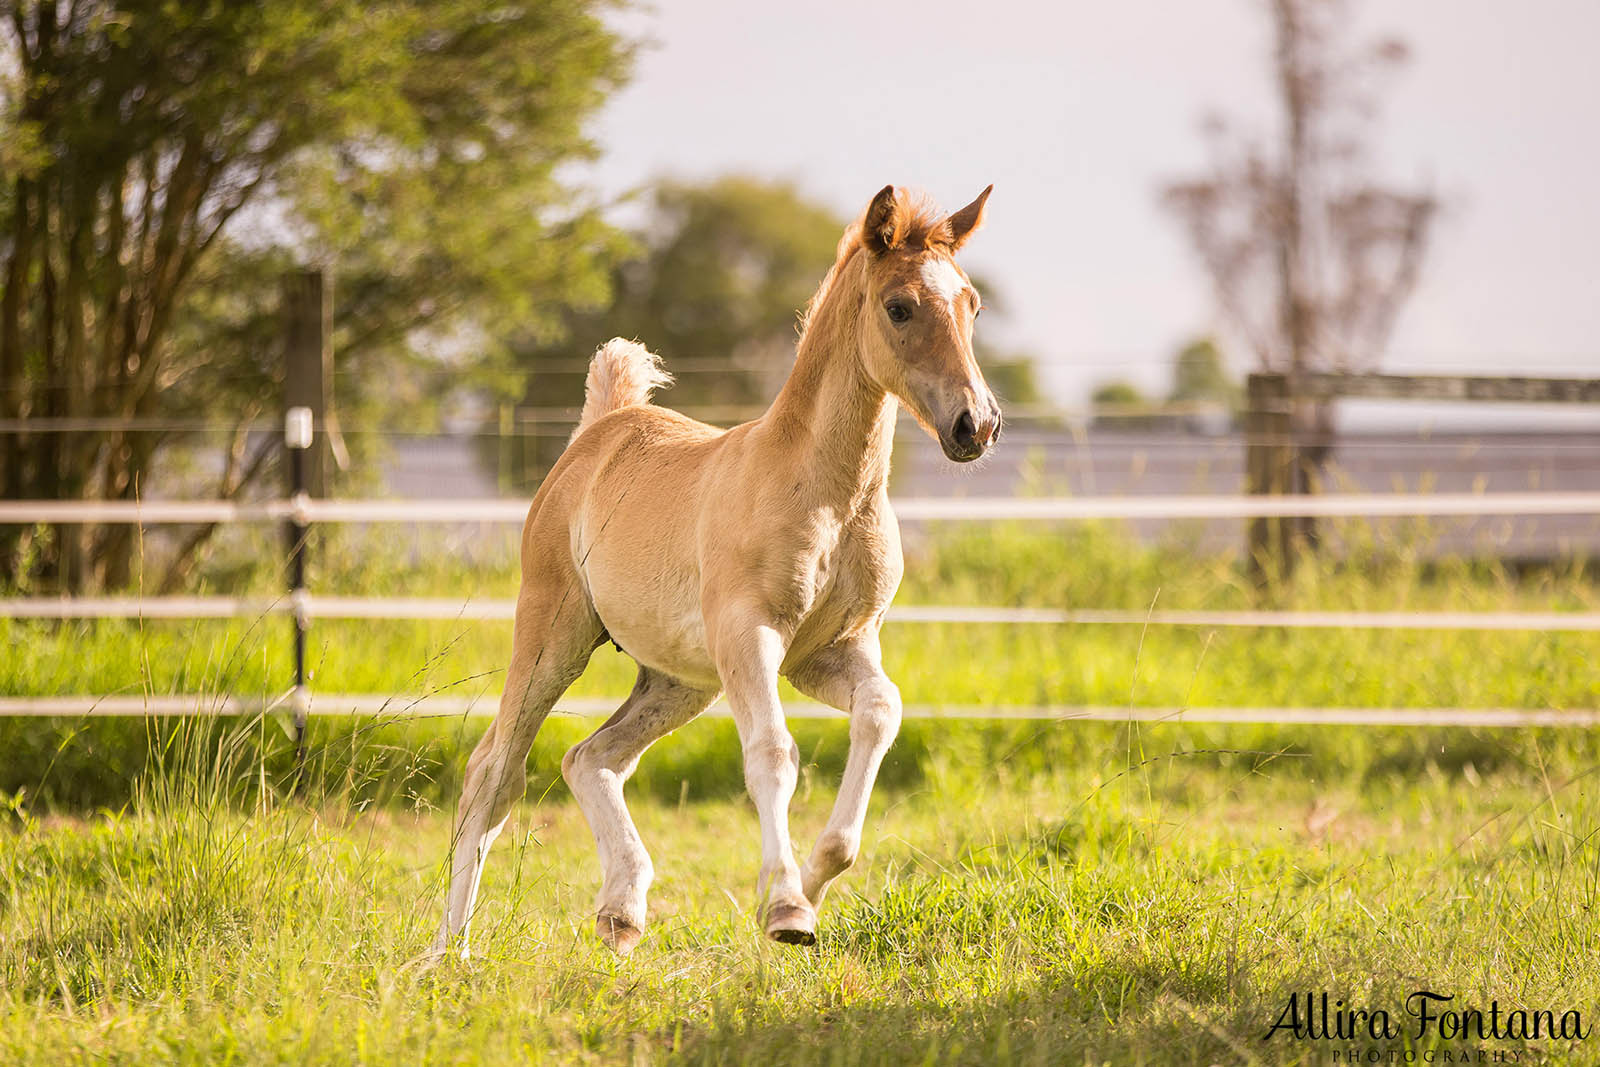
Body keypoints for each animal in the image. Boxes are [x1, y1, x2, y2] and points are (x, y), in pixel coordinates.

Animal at [438, 183, 998, 959]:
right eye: (899, 307)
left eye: (972, 303)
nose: (977, 424)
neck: (825, 491)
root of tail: (599, 428)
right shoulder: (749, 634)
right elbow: (773, 751)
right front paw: (787, 907)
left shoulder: (832, 650)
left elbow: (881, 712)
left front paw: (812, 884)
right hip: (555, 635)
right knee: (495, 771)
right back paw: (448, 952)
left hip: (678, 679)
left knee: (589, 757)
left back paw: (621, 910)